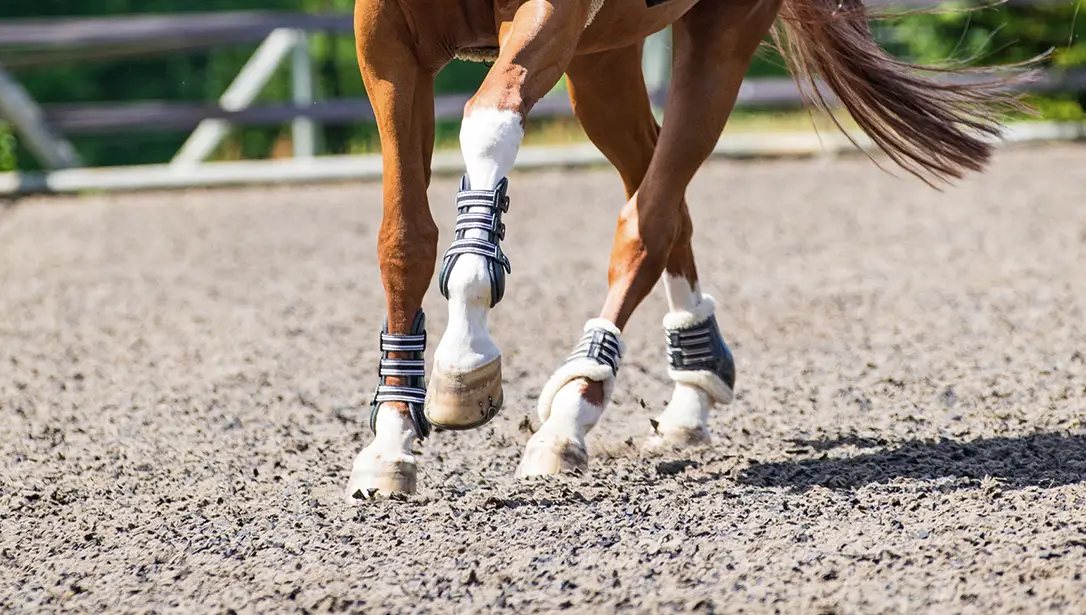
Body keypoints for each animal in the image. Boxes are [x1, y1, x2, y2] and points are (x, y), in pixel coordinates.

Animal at [344, 0, 1027, 499]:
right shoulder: (384, 38)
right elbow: (405, 237)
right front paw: (392, 440)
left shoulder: (548, 13)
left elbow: (488, 123)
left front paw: (465, 360)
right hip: (602, 58)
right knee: (660, 194)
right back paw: (694, 384)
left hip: (718, 37)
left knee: (650, 217)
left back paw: (574, 413)